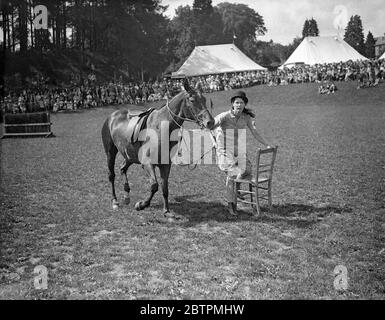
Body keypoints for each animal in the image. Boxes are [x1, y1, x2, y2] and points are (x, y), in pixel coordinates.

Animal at [100, 80, 214, 218]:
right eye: (192, 100)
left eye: (204, 99)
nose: (210, 122)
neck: (161, 126)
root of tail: (111, 116)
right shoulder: (147, 163)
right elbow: (154, 185)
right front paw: (141, 205)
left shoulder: (165, 164)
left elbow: (164, 187)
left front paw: (166, 211)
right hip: (110, 152)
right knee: (111, 175)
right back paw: (115, 201)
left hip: (130, 155)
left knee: (123, 168)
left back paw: (126, 196)